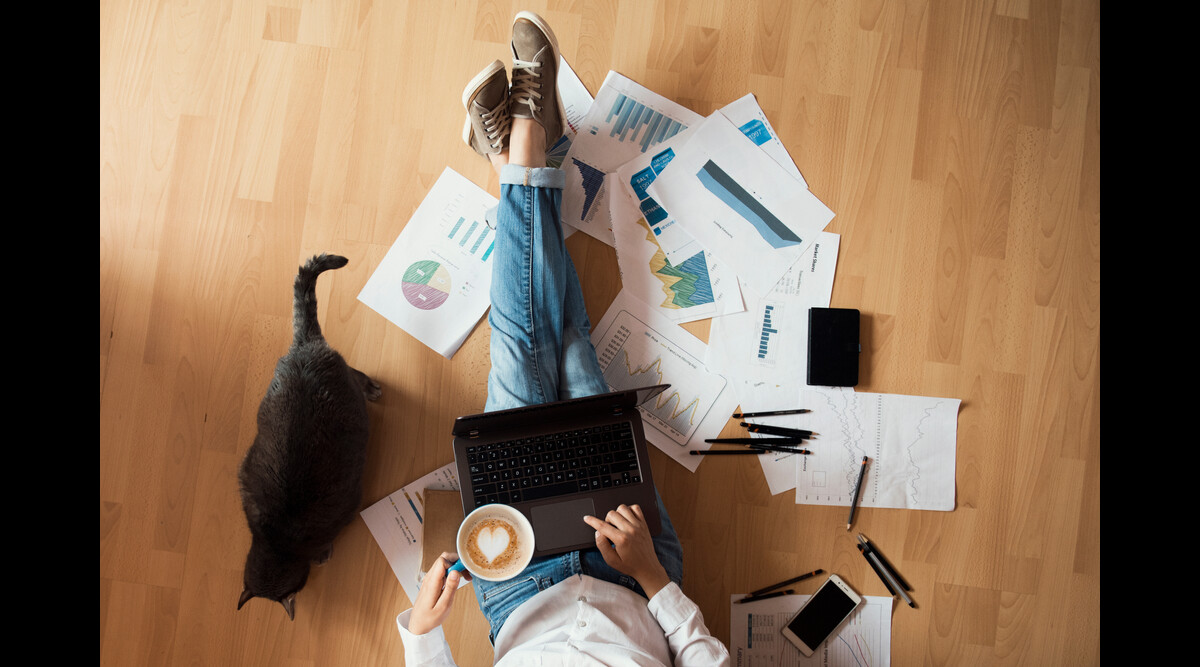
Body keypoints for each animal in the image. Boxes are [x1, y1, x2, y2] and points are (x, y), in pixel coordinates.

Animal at [235, 253, 379, 619]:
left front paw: (323, 555)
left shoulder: (345, 509)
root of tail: (304, 346)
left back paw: (372, 389)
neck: (278, 542)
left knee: (357, 377)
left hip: (346, 386)